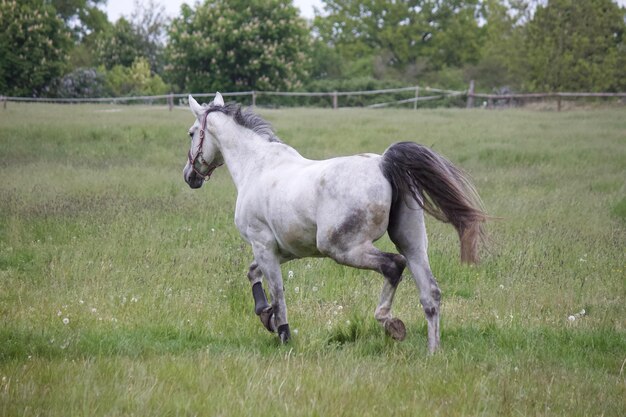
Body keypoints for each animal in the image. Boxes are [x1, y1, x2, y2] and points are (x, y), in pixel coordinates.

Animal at [183, 92, 486, 352]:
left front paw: (282, 333)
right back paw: (432, 351)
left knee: (393, 266)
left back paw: (391, 324)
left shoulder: (263, 245)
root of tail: (384, 164)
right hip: (412, 243)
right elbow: (253, 273)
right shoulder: (284, 251)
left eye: (191, 133)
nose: (189, 176)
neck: (256, 166)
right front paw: (265, 316)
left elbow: (278, 292)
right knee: (430, 294)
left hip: (343, 249)